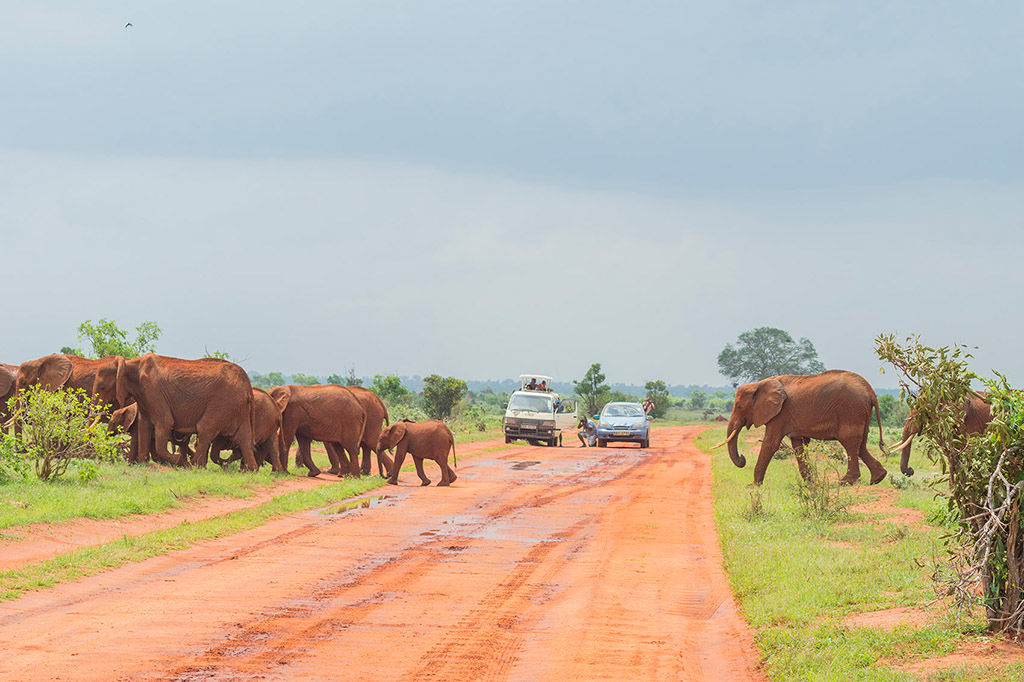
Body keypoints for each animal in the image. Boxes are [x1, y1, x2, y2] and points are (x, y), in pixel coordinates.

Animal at [92, 354, 259, 470]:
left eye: (102, 387)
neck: (130, 362)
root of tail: (247, 384)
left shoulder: (153, 391)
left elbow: (165, 423)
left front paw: (179, 460)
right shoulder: (144, 395)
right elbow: (144, 426)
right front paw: (143, 464)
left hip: (222, 403)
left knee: (205, 430)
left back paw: (193, 466)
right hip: (238, 408)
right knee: (244, 438)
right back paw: (250, 470)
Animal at [714, 370, 887, 485]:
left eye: (739, 407)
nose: (742, 458)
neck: (758, 384)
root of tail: (871, 392)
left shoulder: (780, 413)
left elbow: (771, 443)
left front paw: (753, 486)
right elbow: (798, 445)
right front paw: (811, 484)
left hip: (851, 410)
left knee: (850, 441)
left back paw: (844, 482)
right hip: (860, 412)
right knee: (861, 444)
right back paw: (878, 478)